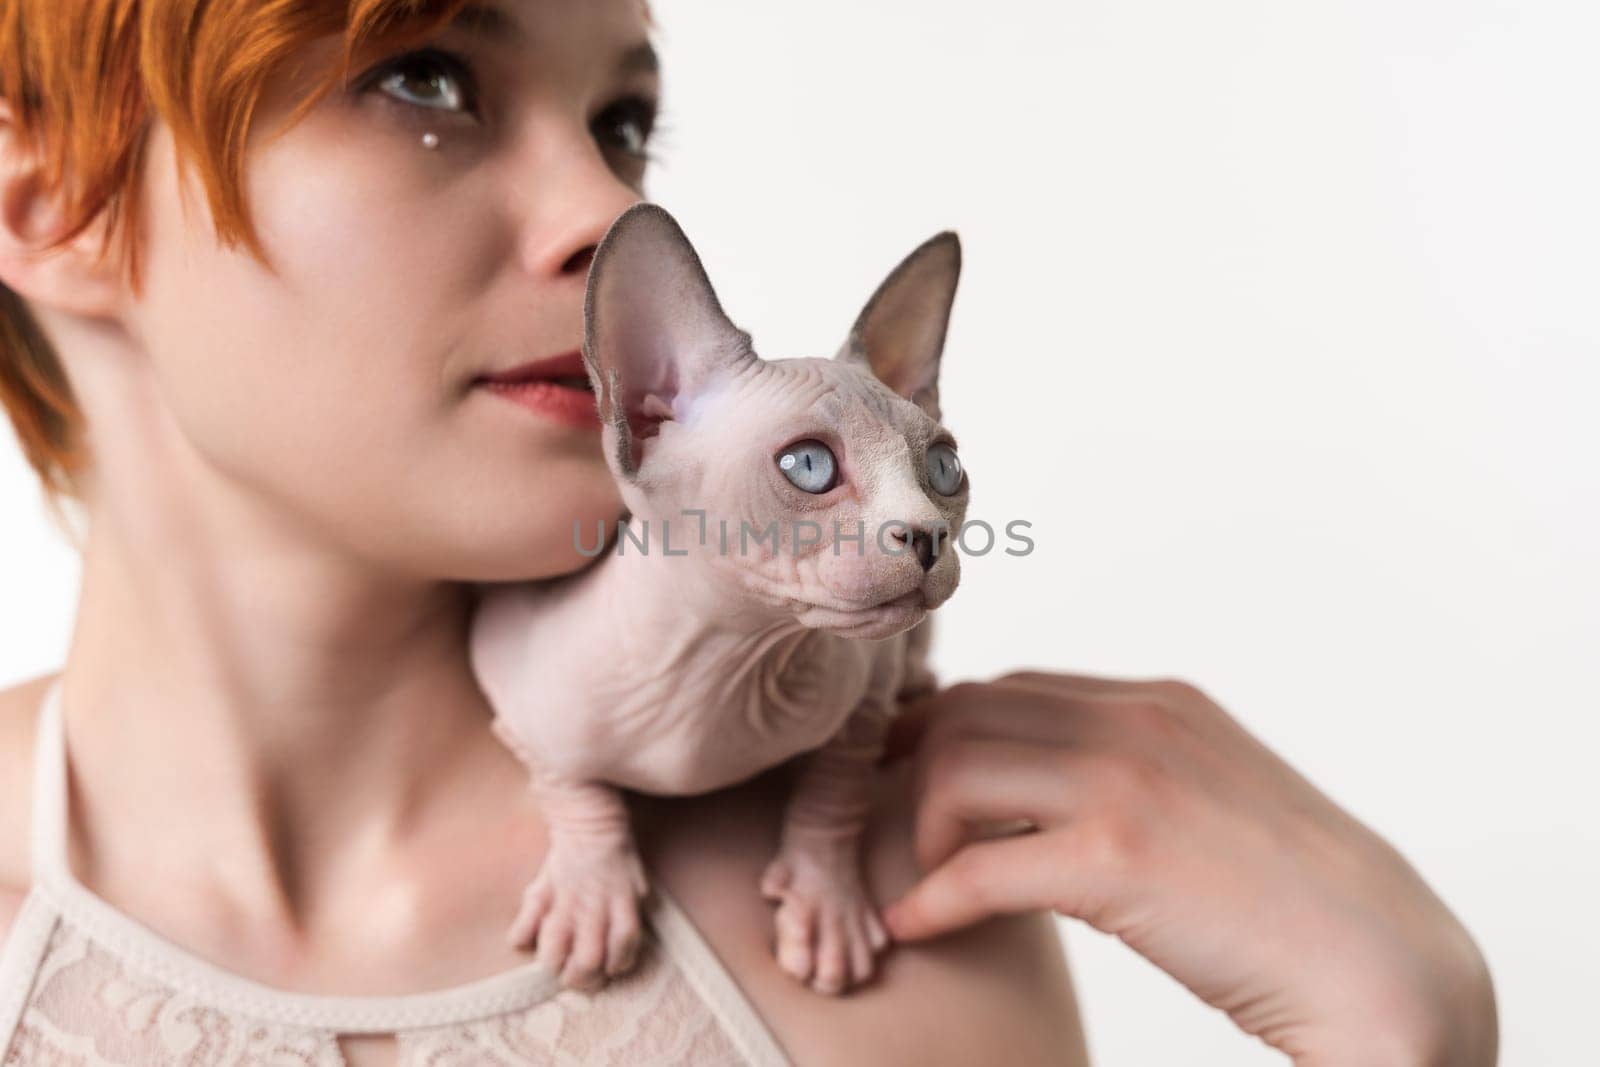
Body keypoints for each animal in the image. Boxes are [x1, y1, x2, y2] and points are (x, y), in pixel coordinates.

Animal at [467, 204, 966, 998]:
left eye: (945, 468)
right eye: (808, 465)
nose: (927, 535)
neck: (730, 664)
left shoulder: (866, 690)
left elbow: (839, 783)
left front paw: (824, 904)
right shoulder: (514, 704)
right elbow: (571, 783)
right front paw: (591, 900)